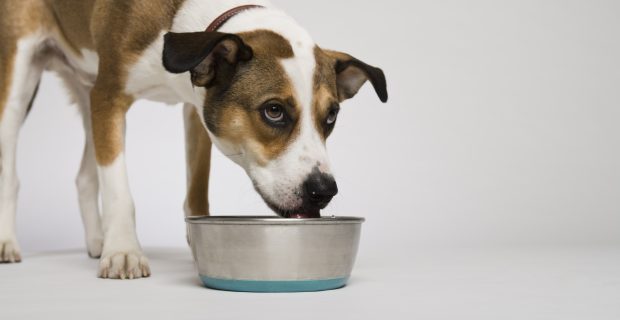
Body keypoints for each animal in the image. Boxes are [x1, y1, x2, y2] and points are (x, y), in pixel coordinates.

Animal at [0, 0, 388, 278]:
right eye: (274, 111)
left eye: (331, 116)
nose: (323, 190)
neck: (180, 30)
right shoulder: (109, 97)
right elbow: (119, 190)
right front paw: (124, 251)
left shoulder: (195, 110)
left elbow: (196, 190)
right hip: (20, 76)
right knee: (11, 169)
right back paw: (8, 242)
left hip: (85, 88)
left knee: (84, 175)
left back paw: (98, 241)